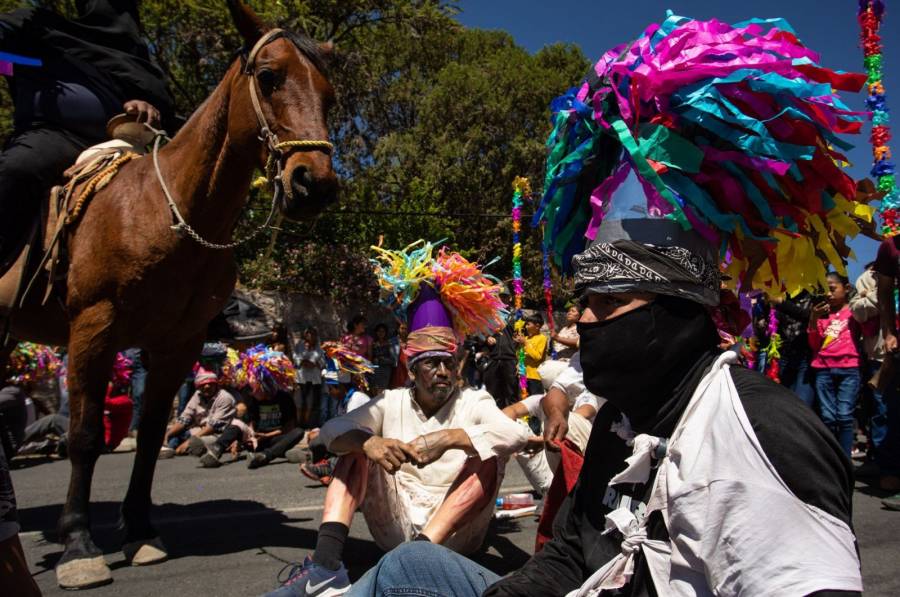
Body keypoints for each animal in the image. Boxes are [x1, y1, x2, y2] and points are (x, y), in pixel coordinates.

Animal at [0, 0, 338, 588]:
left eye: (330, 95)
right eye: (268, 77)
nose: (313, 184)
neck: (165, 213)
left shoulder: (178, 342)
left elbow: (154, 429)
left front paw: (138, 530)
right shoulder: (92, 328)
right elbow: (84, 435)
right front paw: (79, 543)